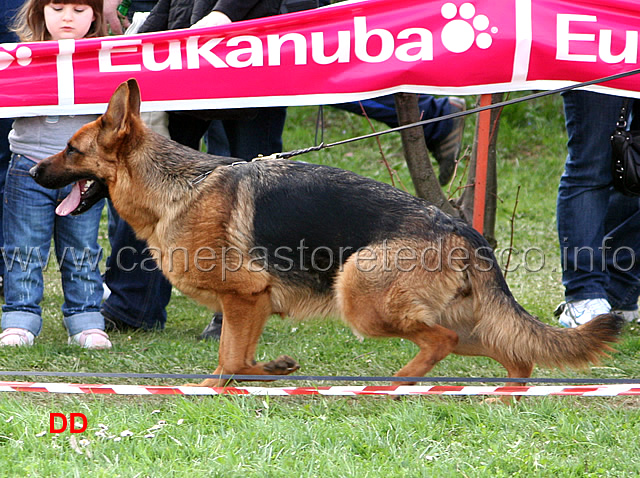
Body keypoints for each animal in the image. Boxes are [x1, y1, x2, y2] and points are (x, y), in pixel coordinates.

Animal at [30, 79, 620, 388]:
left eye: (72, 150)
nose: (32, 172)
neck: (176, 188)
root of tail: (460, 228)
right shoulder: (252, 306)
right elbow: (235, 360)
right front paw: (267, 371)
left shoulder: (244, 298)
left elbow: (229, 361)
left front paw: (235, 380)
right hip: (457, 317)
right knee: (513, 352)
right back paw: (501, 391)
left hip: (359, 293)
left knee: (444, 341)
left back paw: (400, 380)